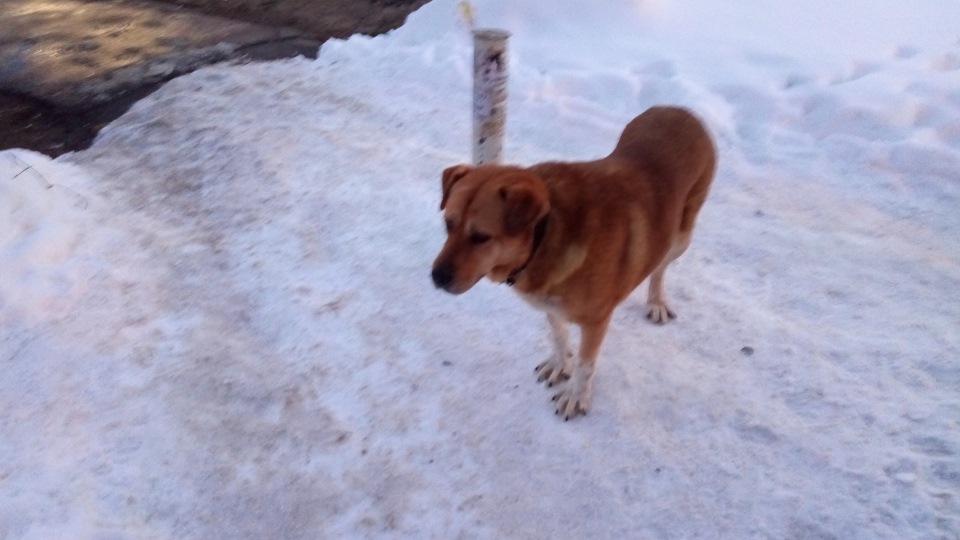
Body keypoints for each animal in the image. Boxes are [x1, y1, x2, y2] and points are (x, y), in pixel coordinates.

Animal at [431, 106, 716, 420]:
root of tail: (680, 110)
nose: (437, 278)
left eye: (481, 237)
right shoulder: (549, 302)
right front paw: (559, 364)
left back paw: (656, 302)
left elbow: (586, 364)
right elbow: (558, 335)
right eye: (448, 224)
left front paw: (576, 396)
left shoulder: (596, 321)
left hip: (680, 237)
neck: (543, 237)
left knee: (659, 267)